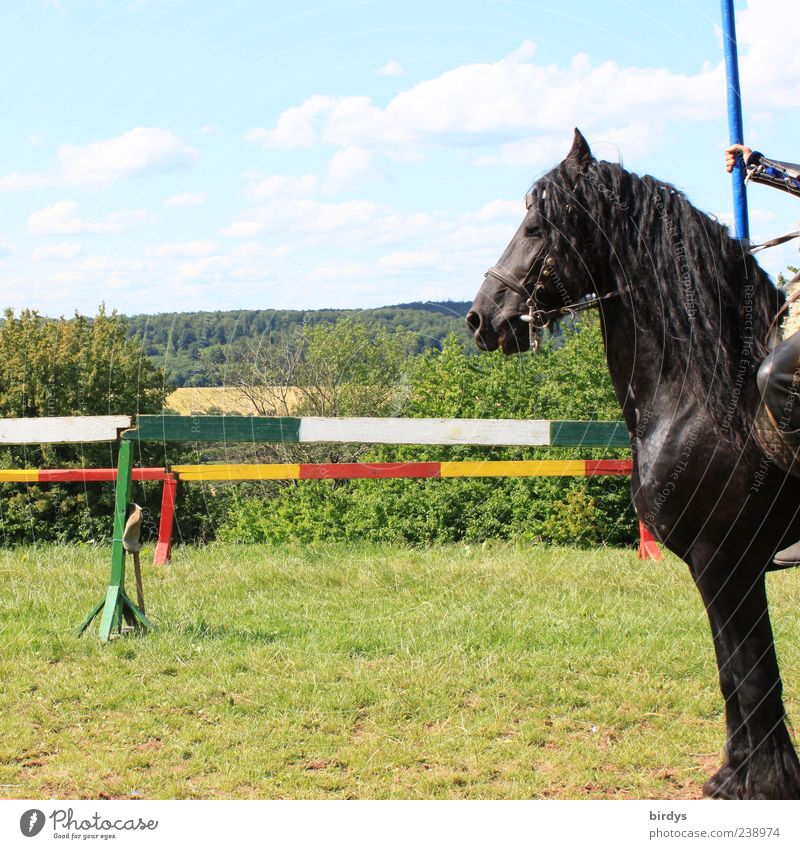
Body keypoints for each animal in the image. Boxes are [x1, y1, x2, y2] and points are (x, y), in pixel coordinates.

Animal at [466, 129, 800, 800]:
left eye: (536, 225)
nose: (482, 317)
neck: (711, 394)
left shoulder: (727, 559)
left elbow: (753, 672)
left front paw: (762, 782)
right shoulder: (716, 566)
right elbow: (733, 671)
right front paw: (736, 773)